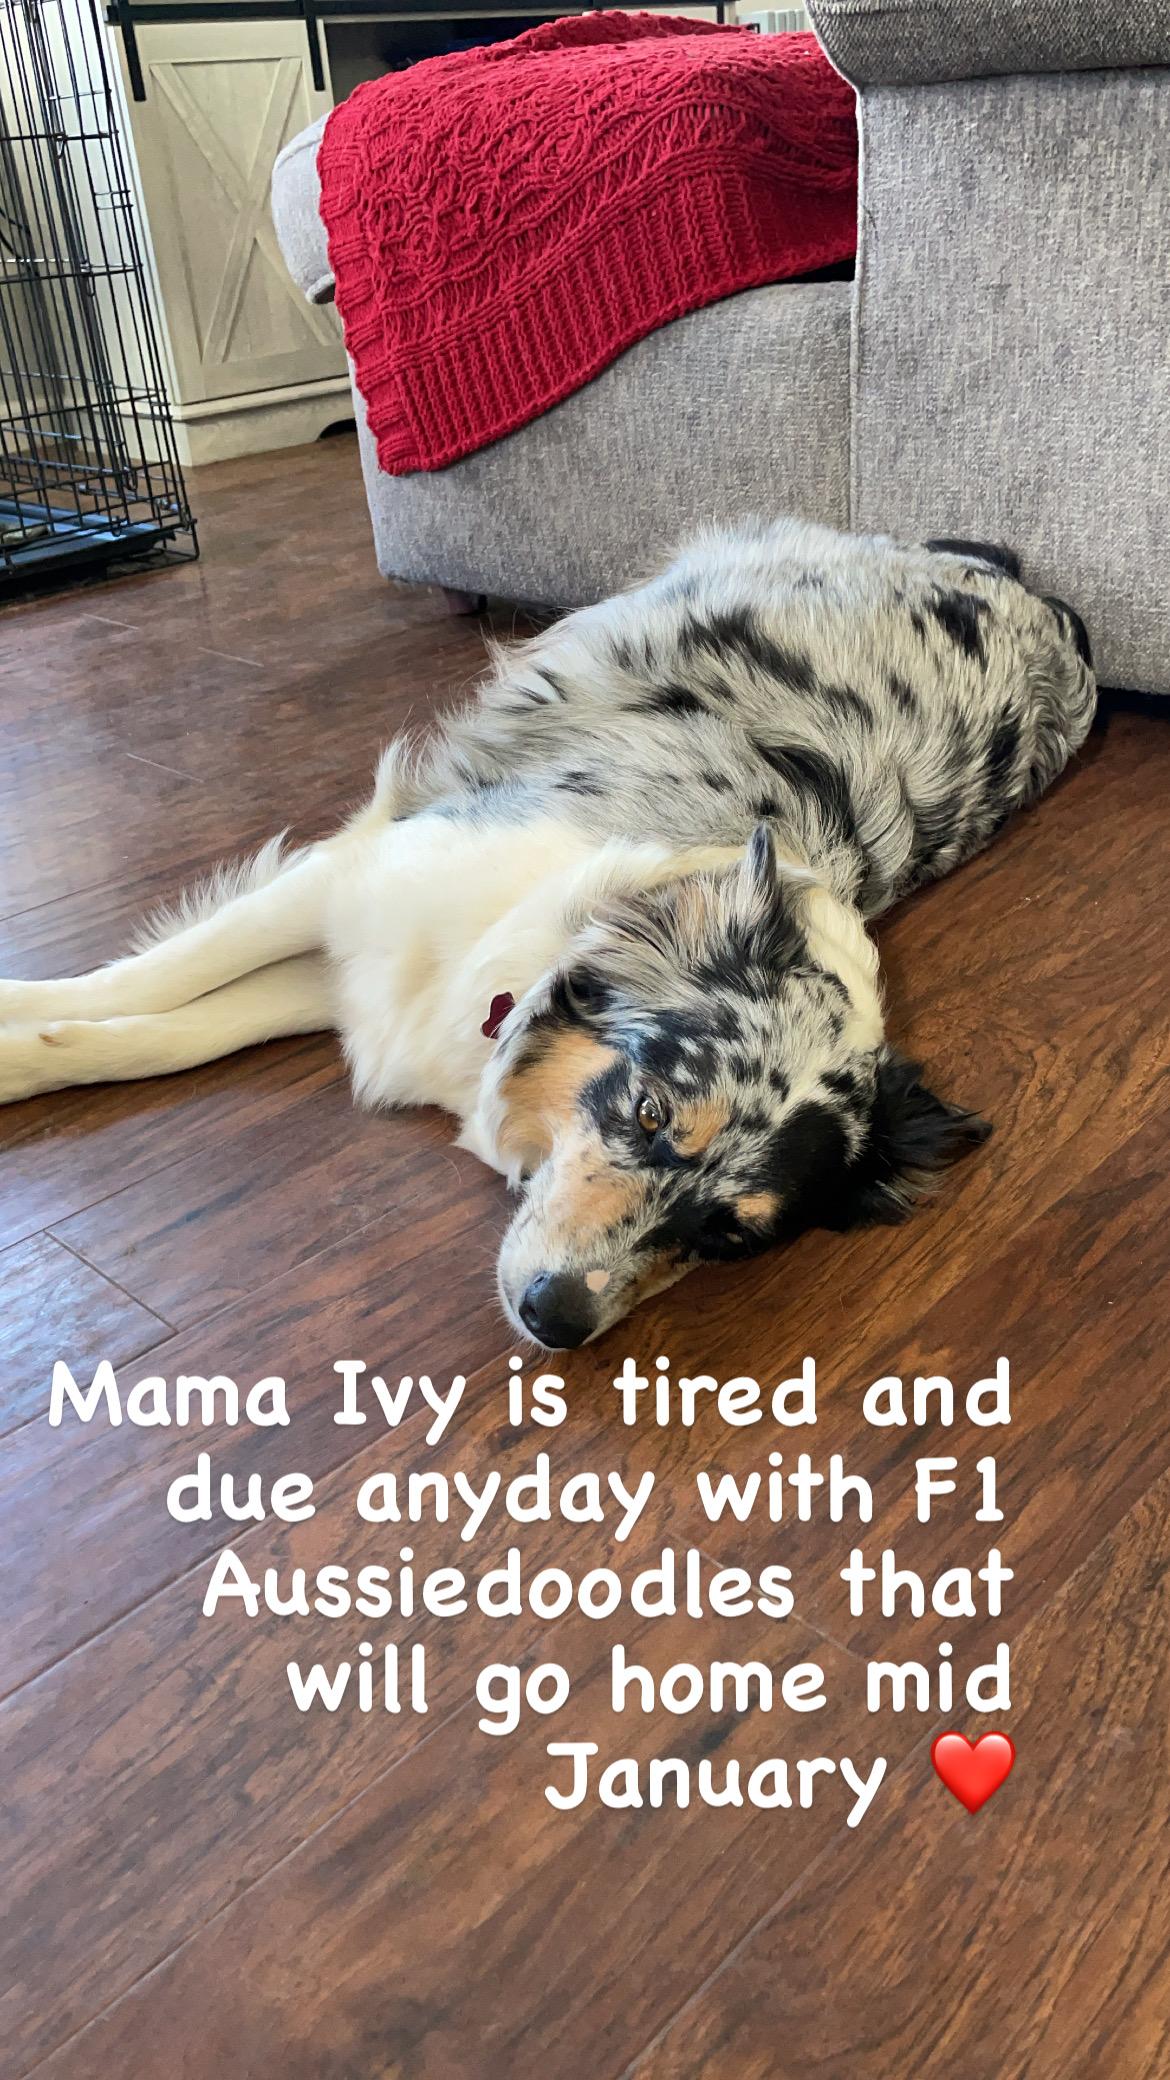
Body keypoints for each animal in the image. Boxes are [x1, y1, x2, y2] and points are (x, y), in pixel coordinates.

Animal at [0, 520, 1095, 1347]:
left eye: (729, 1240)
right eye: (649, 1112)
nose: (558, 1319)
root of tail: (1048, 607)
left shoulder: (373, 985)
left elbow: (177, 1029)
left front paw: (37, 1051)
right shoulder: (350, 883)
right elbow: (149, 990)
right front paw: (24, 1034)